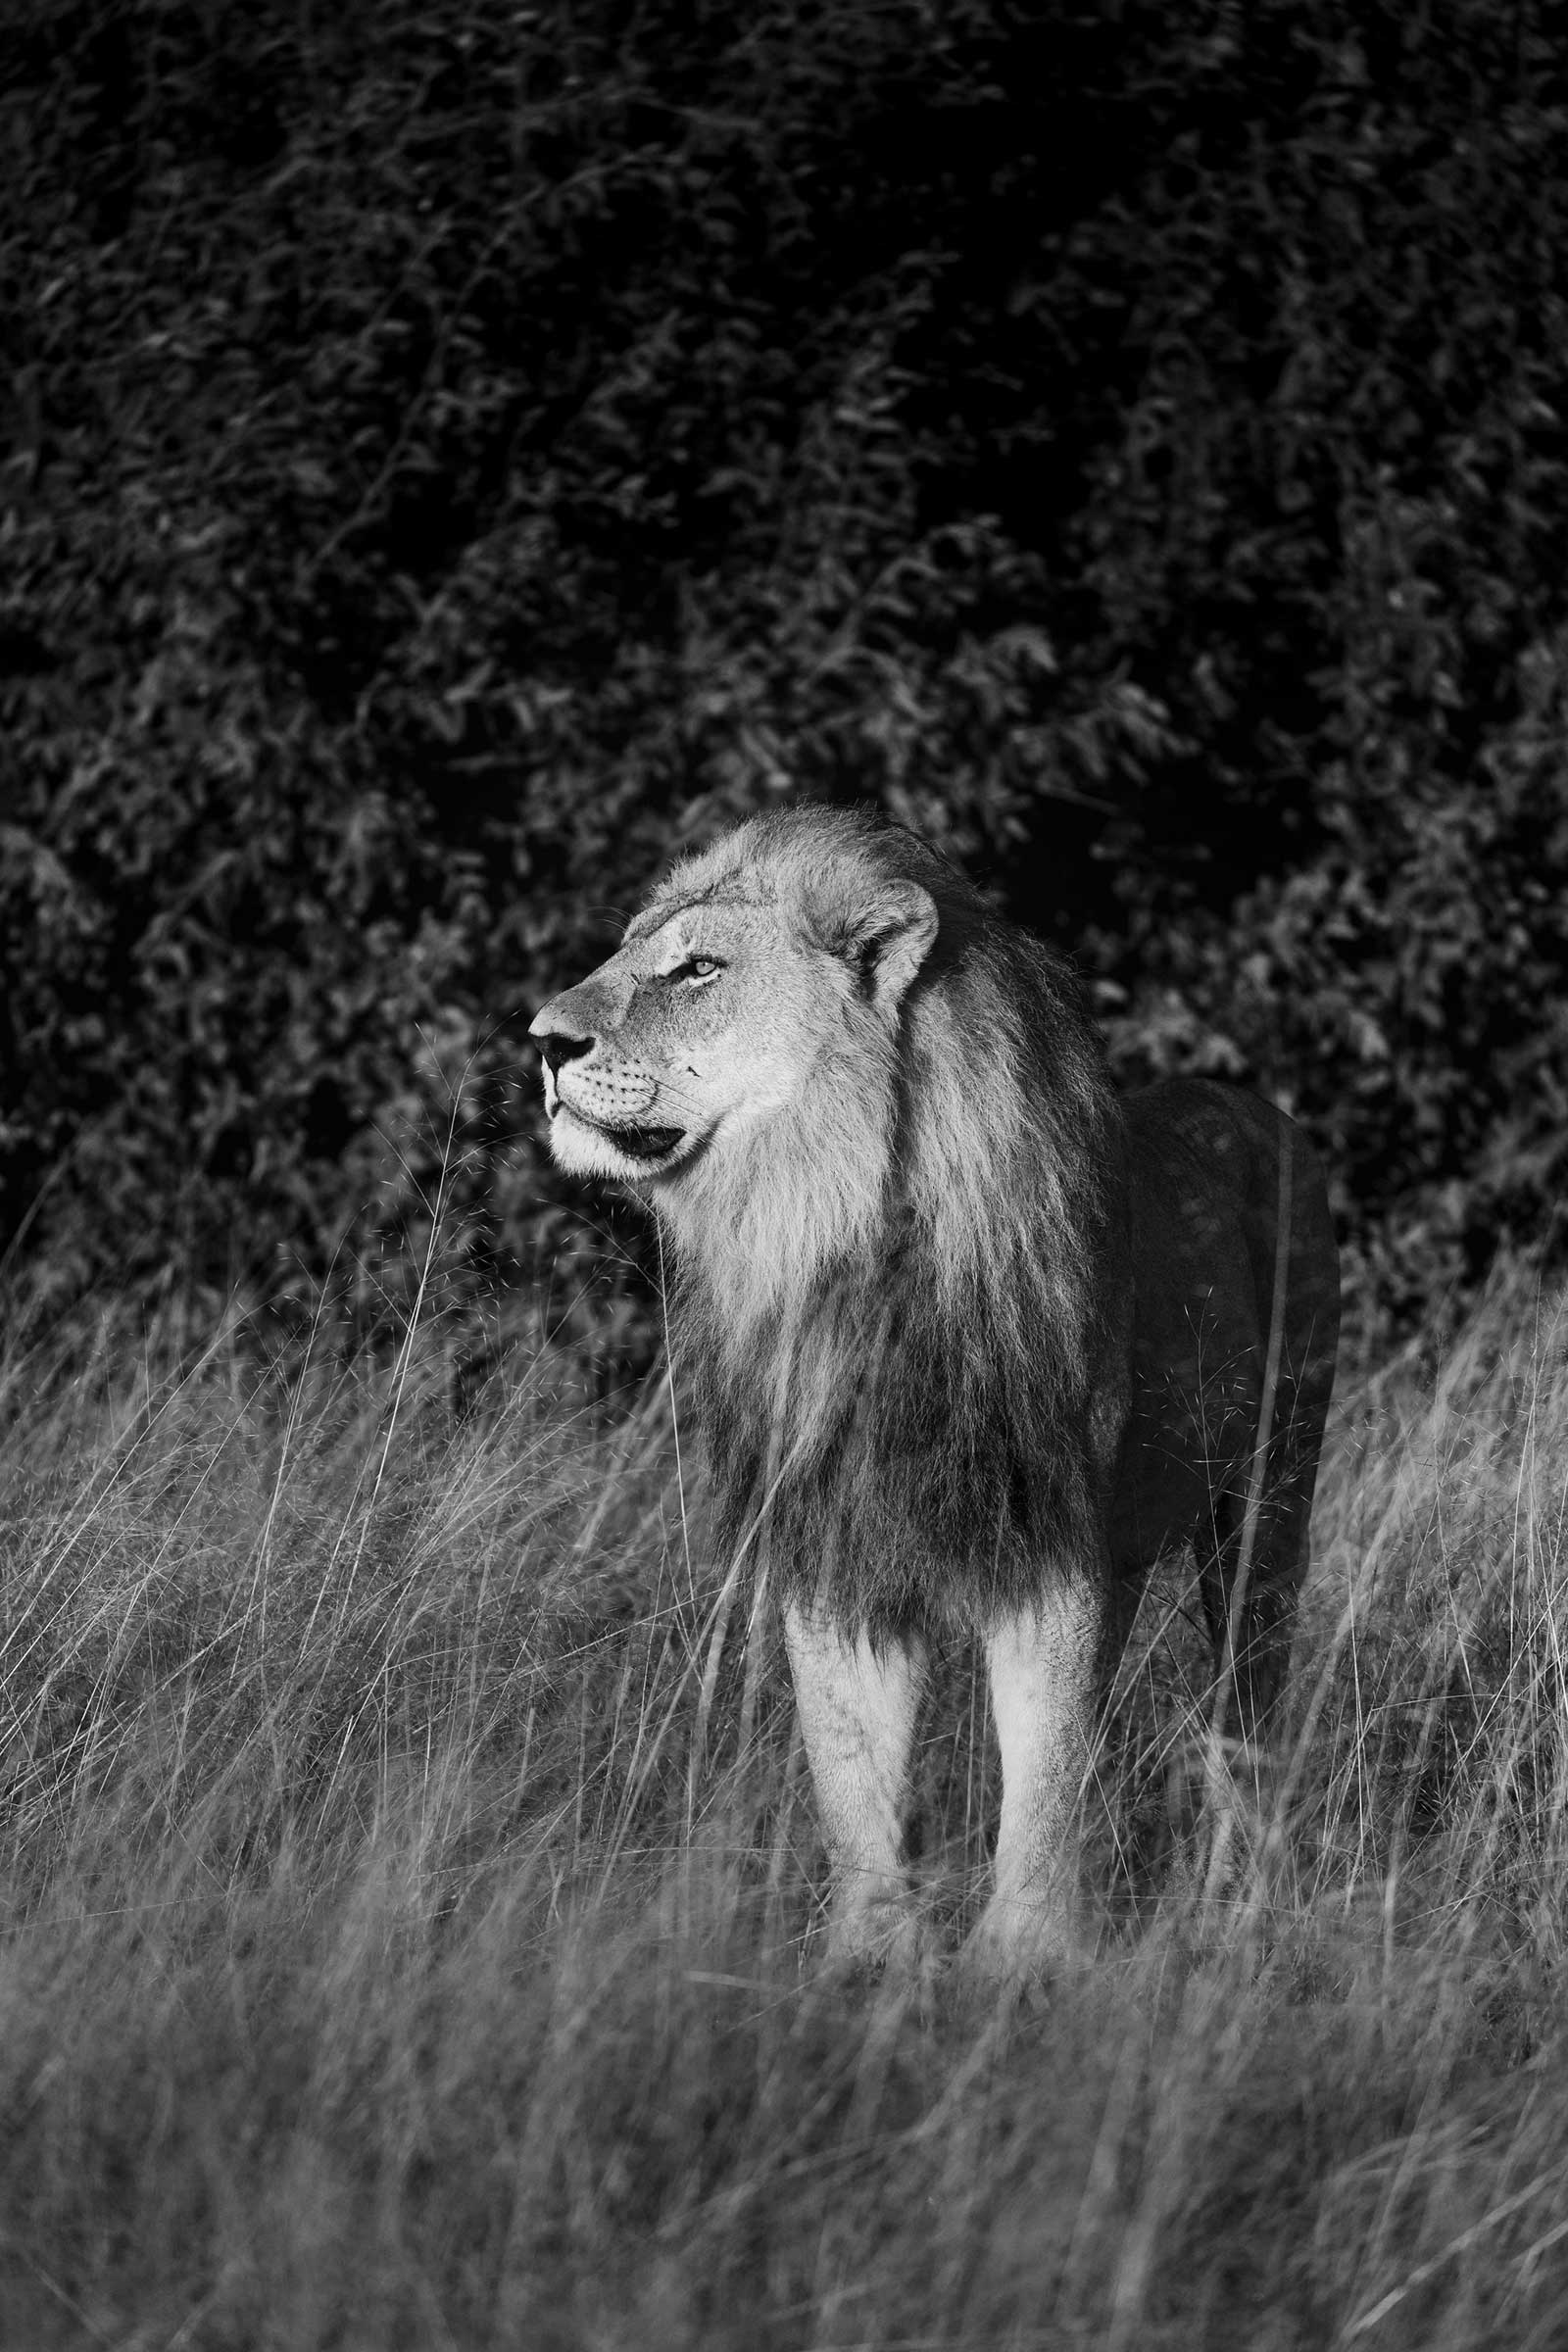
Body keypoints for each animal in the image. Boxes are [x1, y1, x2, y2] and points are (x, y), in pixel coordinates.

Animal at [530, 806, 1339, 1975]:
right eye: (629, 952)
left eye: (698, 969)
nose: (542, 1041)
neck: (842, 1238)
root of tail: (1255, 1102)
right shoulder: (835, 1537)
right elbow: (852, 1768)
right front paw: (872, 1960)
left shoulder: (1055, 1543)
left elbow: (1044, 1765)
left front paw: (1025, 1961)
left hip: (1270, 1505)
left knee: (1247, 1711)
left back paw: (1236, 1918)